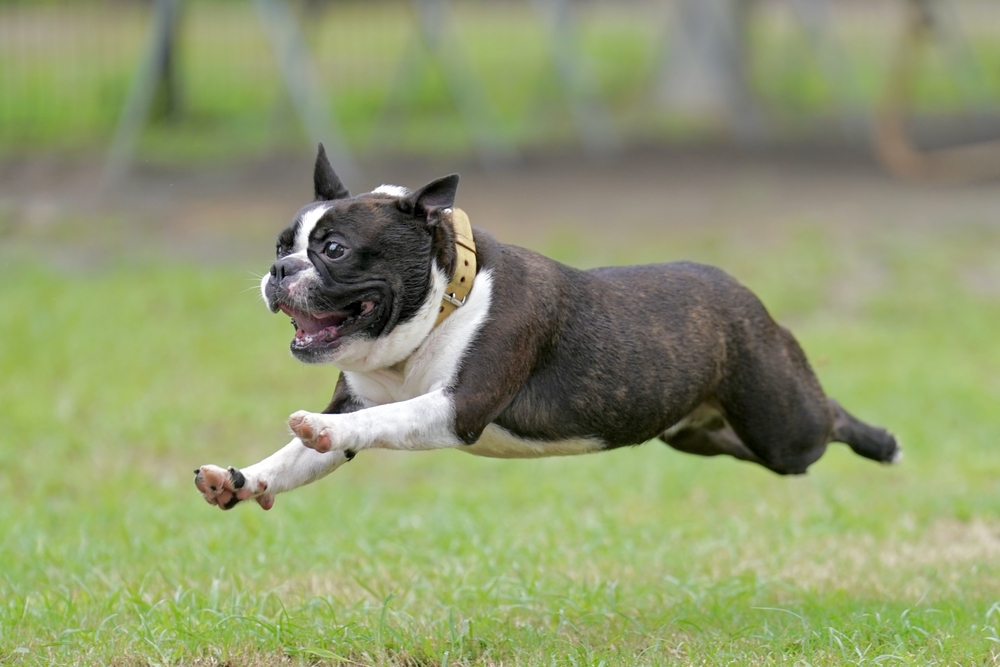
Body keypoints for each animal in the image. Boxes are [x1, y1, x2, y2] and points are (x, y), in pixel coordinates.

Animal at [193, 146, 900, 512]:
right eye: (280, 245)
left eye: (334, 250)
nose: (279, 269)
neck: (442, 304)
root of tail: (746, 296)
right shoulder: (367, 397)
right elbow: (293, 460)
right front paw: (243, 478)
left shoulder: (457, 408)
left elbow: (378, 421)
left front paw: (320, 429)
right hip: (696, 432)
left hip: (782, 421)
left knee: (825, 421)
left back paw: (883, 441)